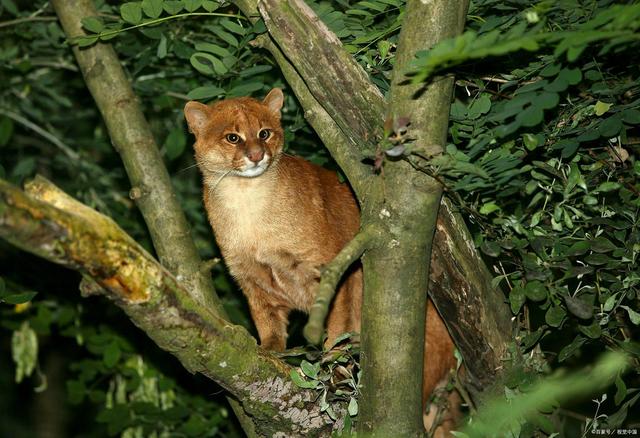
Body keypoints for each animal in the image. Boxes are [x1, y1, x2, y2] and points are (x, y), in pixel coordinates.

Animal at [185, 90, 460, 434]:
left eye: (264, 133)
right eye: (232, 137)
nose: (257, 155)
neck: (247, 205)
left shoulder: (331, 271)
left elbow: (335, 332)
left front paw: (332, 374)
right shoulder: (254, 283)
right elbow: (268, 324)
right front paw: (270, 351)